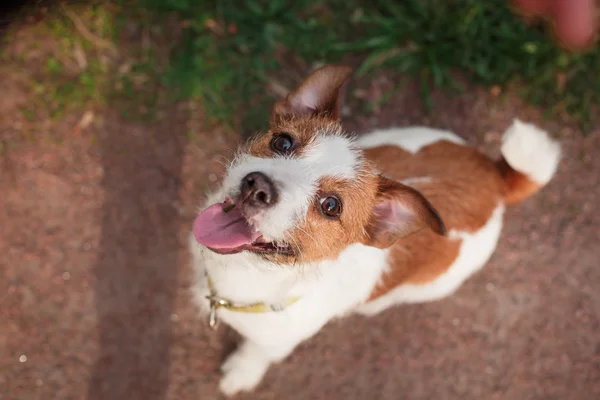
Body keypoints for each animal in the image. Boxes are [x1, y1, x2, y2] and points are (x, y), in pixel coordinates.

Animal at [189, 64, 564, 396]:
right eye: (283, 143)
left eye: (331, 206)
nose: (257, 187)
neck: (247, 278)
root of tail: (496, 178)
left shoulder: (275, 343)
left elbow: (256, 353)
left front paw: (242, 372)